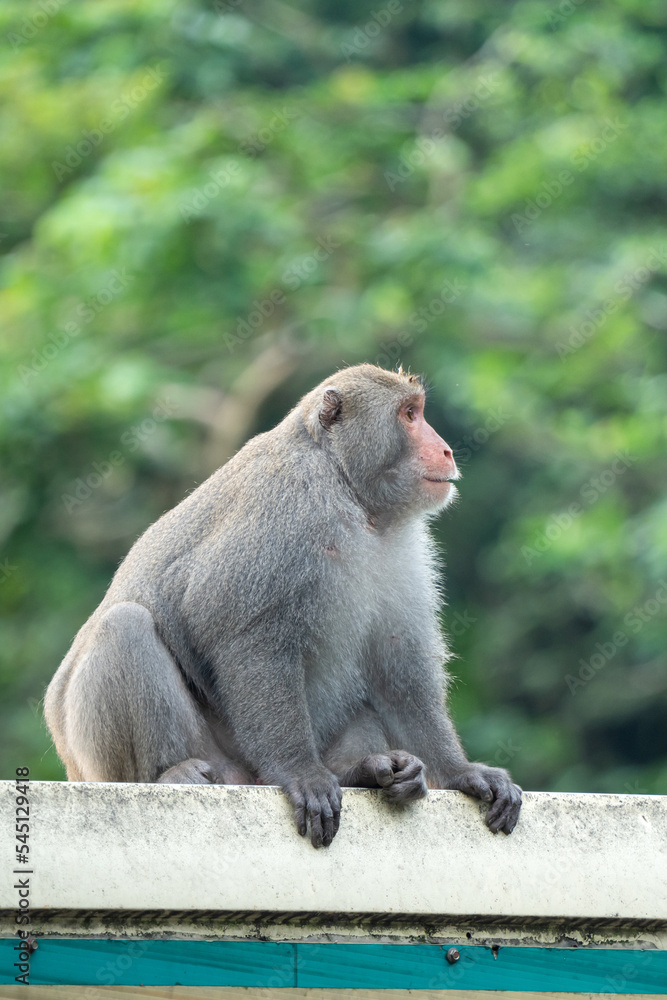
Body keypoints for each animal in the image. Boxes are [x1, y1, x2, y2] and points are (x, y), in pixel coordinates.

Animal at [45, 366, 520, 844]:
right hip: (127, 757)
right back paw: (168, 774)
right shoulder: (292, 508)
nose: (445, 449)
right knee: (124, 627)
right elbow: (244, 634)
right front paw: (300, 772)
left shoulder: (400, 543)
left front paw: (461, 772)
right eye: (409, 415)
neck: (347, 488)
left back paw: (363, 770)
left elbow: (397, 658)